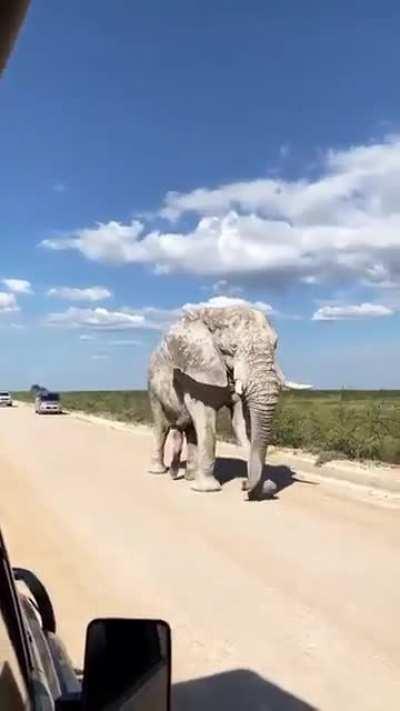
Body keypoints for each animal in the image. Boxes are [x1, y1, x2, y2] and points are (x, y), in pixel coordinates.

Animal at [147, 305, 311, 501]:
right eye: (232, 347)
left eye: (275, 346)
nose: (244, 485)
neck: (217, 314)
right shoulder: (195, 371)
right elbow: (207, 422)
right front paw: (208, 489)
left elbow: (240, 424)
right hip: (152, 386)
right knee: (161, 426)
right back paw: (158, 471)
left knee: (191, 430)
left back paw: (190, 477)